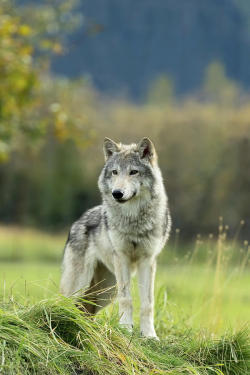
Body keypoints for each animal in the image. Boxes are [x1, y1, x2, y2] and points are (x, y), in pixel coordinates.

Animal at [59, 138, 171, 340]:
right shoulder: (122, 258)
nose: (117, 193)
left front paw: (149, 335)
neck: (133, 220)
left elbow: (147, 304)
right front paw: (126, 328)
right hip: (81, 284)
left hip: (105, 291)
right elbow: (126, 298)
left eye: (133, 172)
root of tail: (77, 221)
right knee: (67, 302)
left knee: (86, 310)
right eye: (115, 172)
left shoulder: (147, 261)